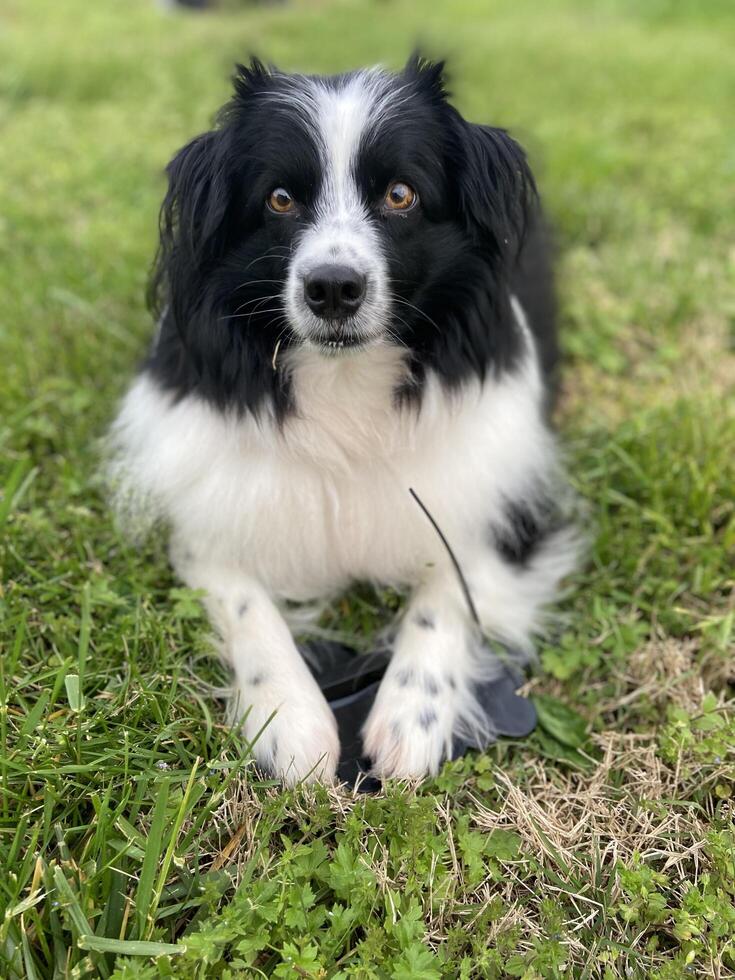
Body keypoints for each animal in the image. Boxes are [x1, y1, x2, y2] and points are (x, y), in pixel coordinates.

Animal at [109, 57, 580, 784]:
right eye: (279, 200)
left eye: (400, 195)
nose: (332, 289)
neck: (345, 381)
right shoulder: (207, 512)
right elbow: (247, 603)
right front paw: (287, 716)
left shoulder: (509, 509)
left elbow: (448, 588)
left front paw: (412, 716)